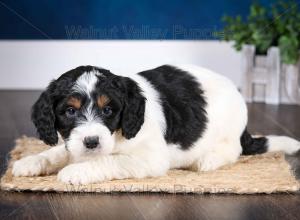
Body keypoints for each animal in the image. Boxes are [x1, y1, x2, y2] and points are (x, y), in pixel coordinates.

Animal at [12, 65, 300, 184]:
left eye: (108, 110)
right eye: (70, 111)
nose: (92, 142)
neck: (118, 135)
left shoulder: (150, 158)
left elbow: (110, 160)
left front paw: (76, 171)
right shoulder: (74, 143)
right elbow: (59, 151)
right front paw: (31, 161)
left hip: (227, 132)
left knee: (233, 150)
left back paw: (207, 160)